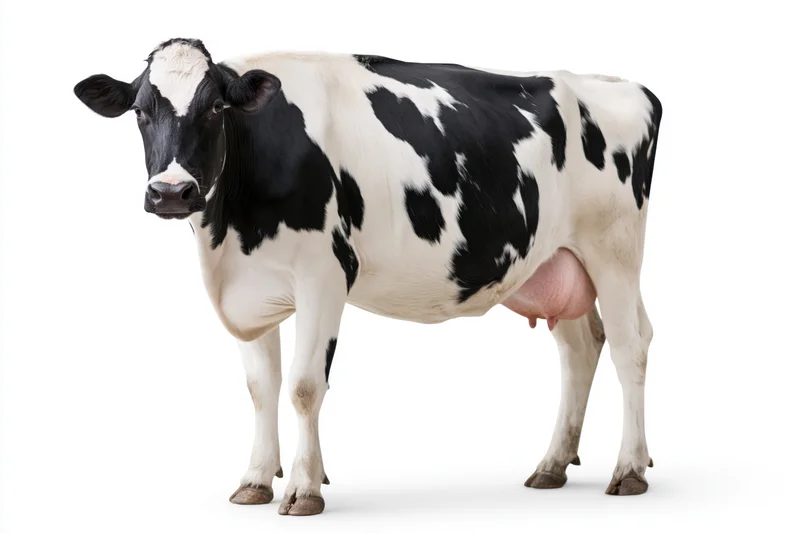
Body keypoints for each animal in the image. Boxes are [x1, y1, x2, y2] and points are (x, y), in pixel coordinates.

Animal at [73, 37, 662, 516]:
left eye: (216, 106)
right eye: (140, 110)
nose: (172, 192)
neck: (230, 234)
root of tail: (626, 86)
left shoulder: (324, 276)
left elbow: (304, 385)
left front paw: (304, 489)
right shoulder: (251, 284)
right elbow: (261, 388)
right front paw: (256, 481)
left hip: (614, 251)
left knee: (630, 346)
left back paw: (630, 469)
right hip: (557, 261)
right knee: (580, 348)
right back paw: (551, 465)